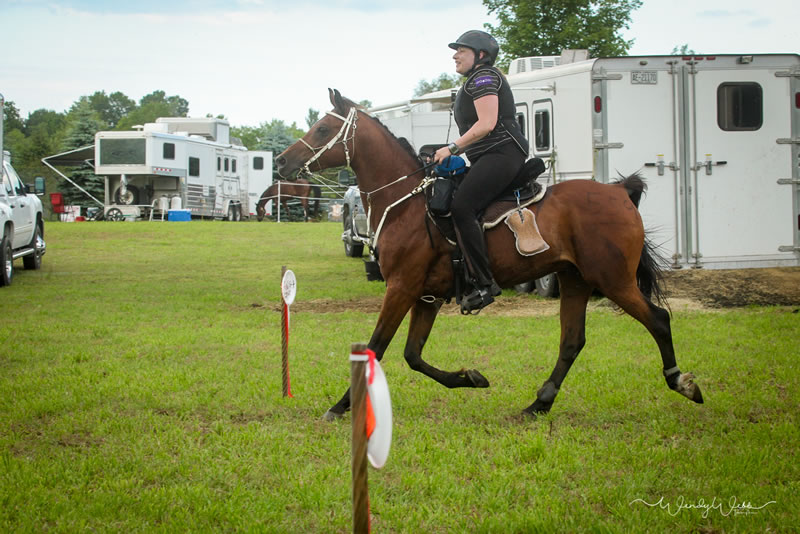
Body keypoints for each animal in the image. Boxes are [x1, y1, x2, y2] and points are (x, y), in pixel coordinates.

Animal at [278, 89, 704, 422]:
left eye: (322, 129)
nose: (282, 161)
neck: (406, 205)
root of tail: (619, 192)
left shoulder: (400, 288)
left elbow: (376, 348)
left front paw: (340, 406)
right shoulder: (425, 297)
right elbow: (413, 355)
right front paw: (470, 378)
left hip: (612, 280)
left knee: (659, 320)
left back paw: (682, 382)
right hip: (575, 280)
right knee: (571, 342)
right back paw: (538, 404)